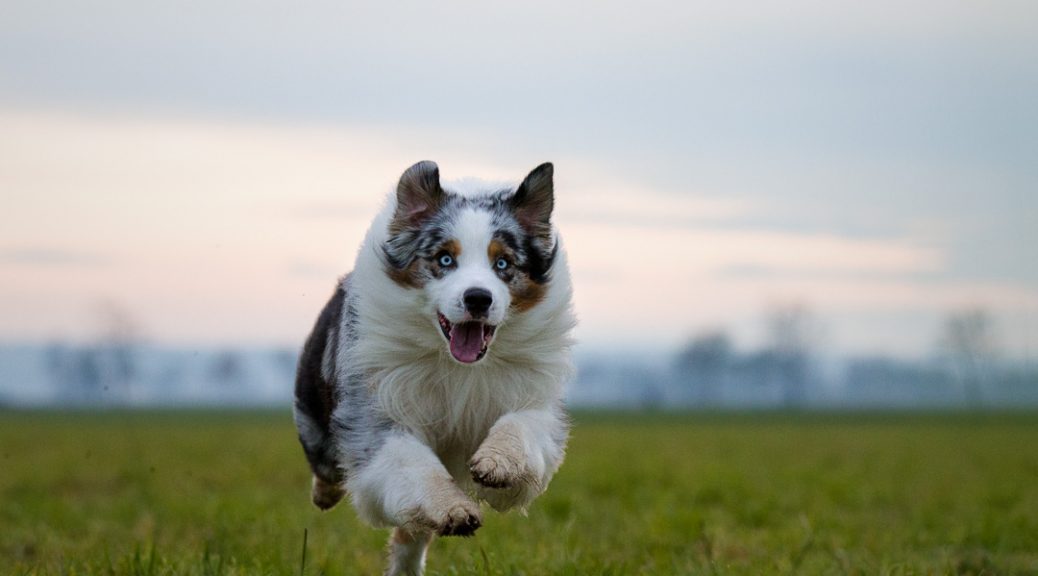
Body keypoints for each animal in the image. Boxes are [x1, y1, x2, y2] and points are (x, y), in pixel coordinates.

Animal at [292, 160, 577, 576]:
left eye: (503, 263)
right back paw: (324, 494)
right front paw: (454, 509)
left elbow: (520, 427)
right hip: (315, 415)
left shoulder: (529, 395)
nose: (478, 298)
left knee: (410, 535)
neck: (456, 364)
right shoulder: (376, 410)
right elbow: (412, 463)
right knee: (326, 466)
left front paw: (497, 464)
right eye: (445, 259)